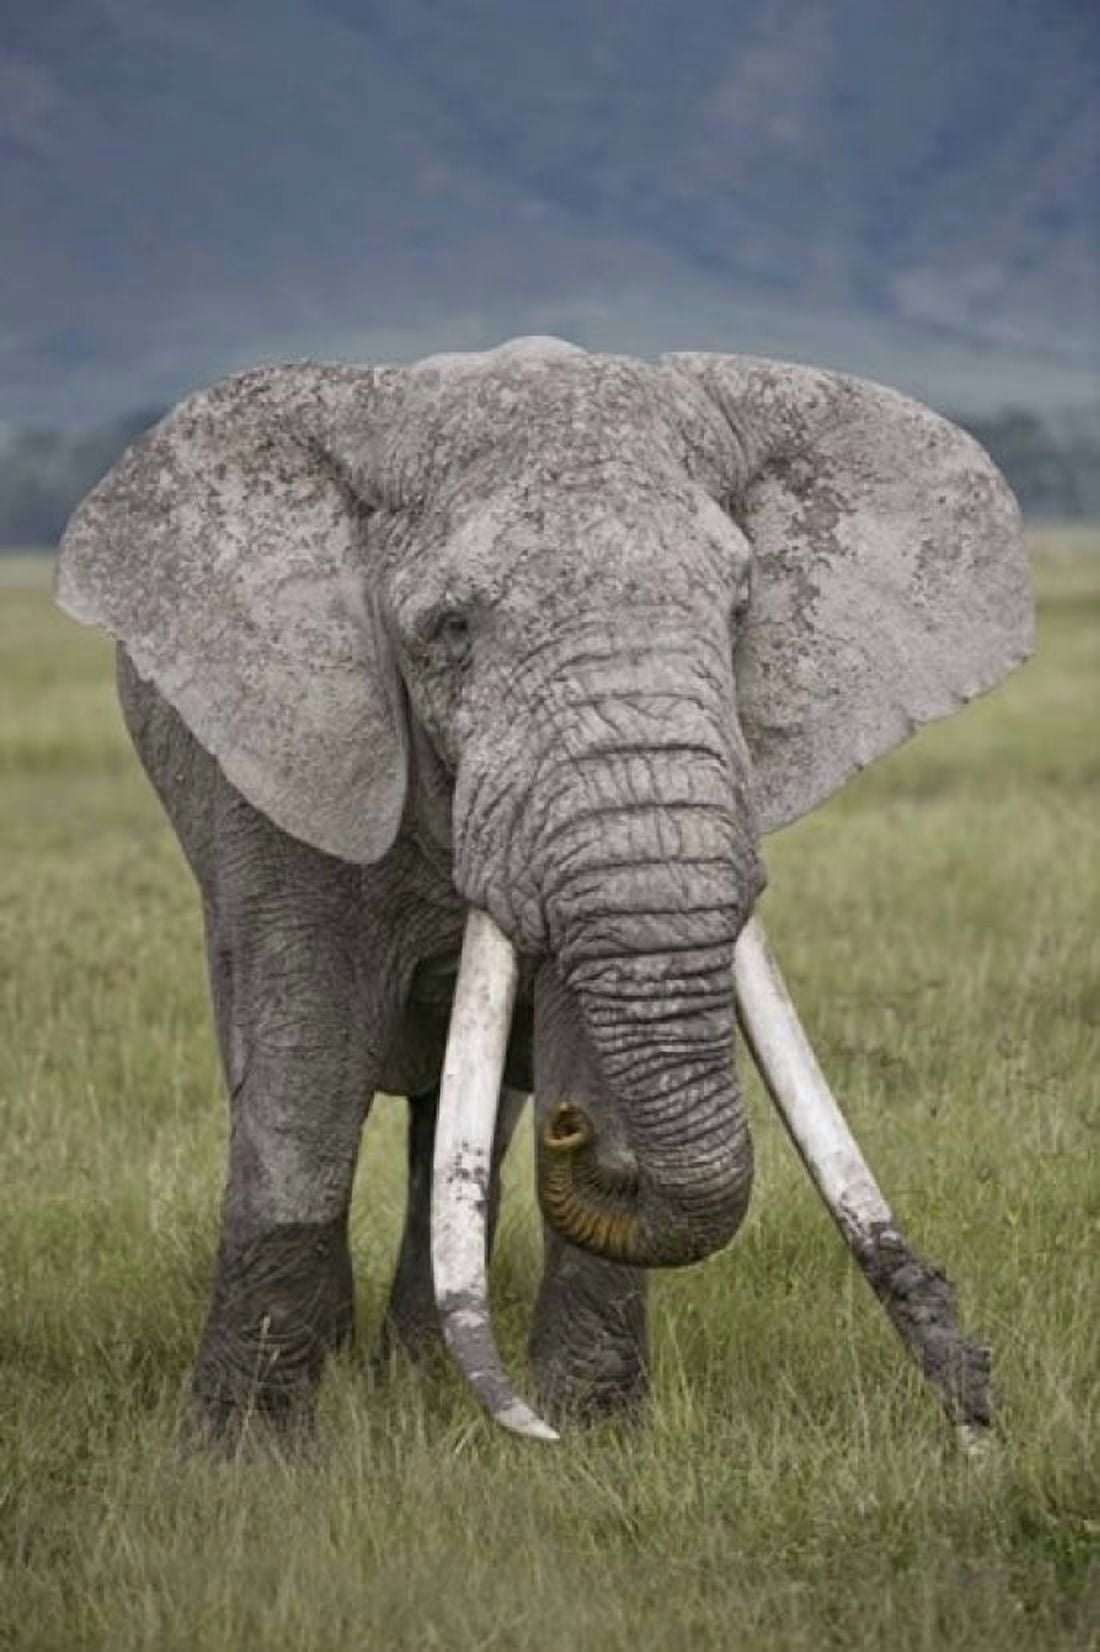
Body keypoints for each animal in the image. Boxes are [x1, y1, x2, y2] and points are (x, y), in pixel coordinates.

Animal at [56, 336, 1032, 1446]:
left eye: (740, 613)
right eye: (447, 627)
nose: (971, 1386)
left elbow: (580, 1037)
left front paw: (591, 1437)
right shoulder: (289, 758)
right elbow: (306, 1057)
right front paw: (244, 1451)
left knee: (456, 1131)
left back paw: (415, 1370)